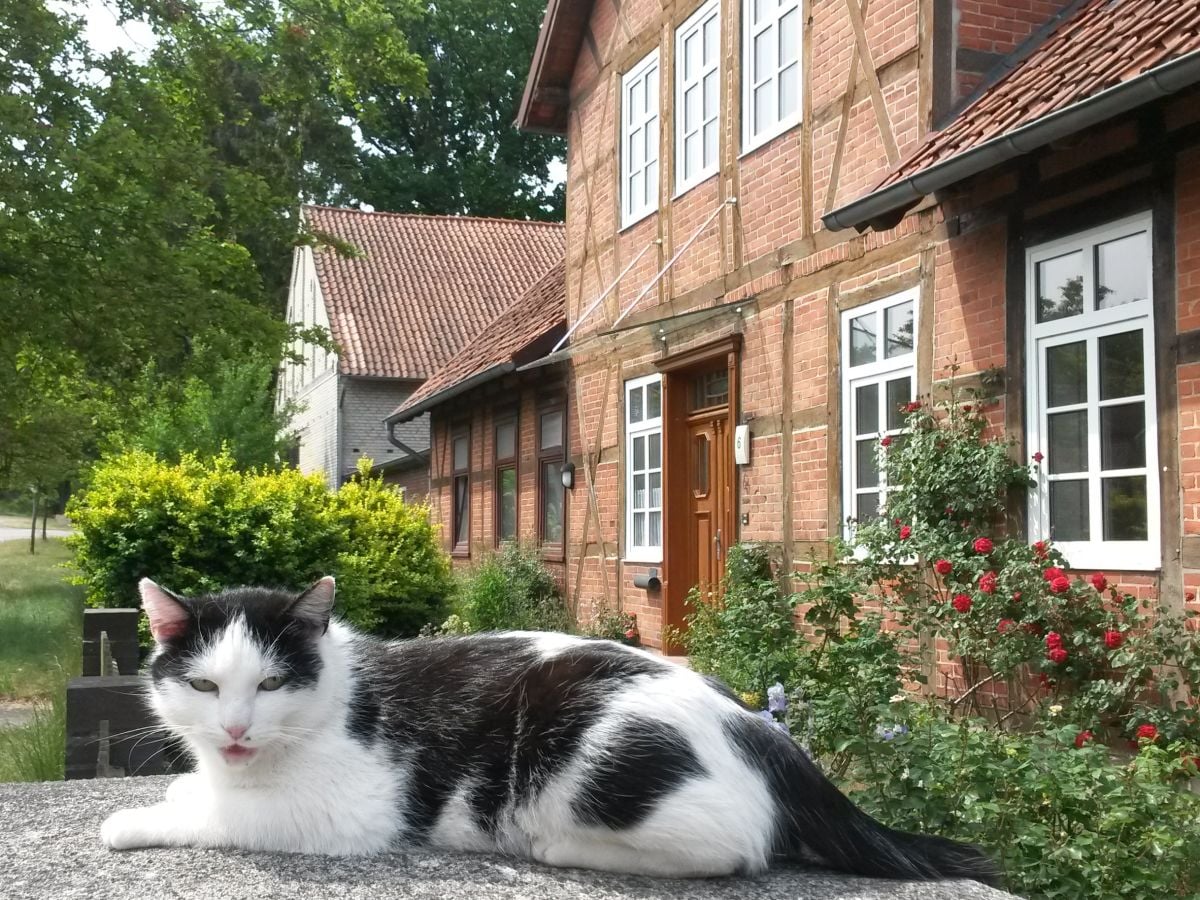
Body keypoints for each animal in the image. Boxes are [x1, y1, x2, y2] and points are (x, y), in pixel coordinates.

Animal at [100, 573, 1003, 883]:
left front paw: (134, 820)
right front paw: (187, 781)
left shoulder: (344, 812)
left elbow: (224, 816)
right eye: (205, 685)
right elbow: (206, 788)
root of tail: (759, 726)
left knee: (739, 849)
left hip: (594, 762)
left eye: (272, 683)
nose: (235, 730)